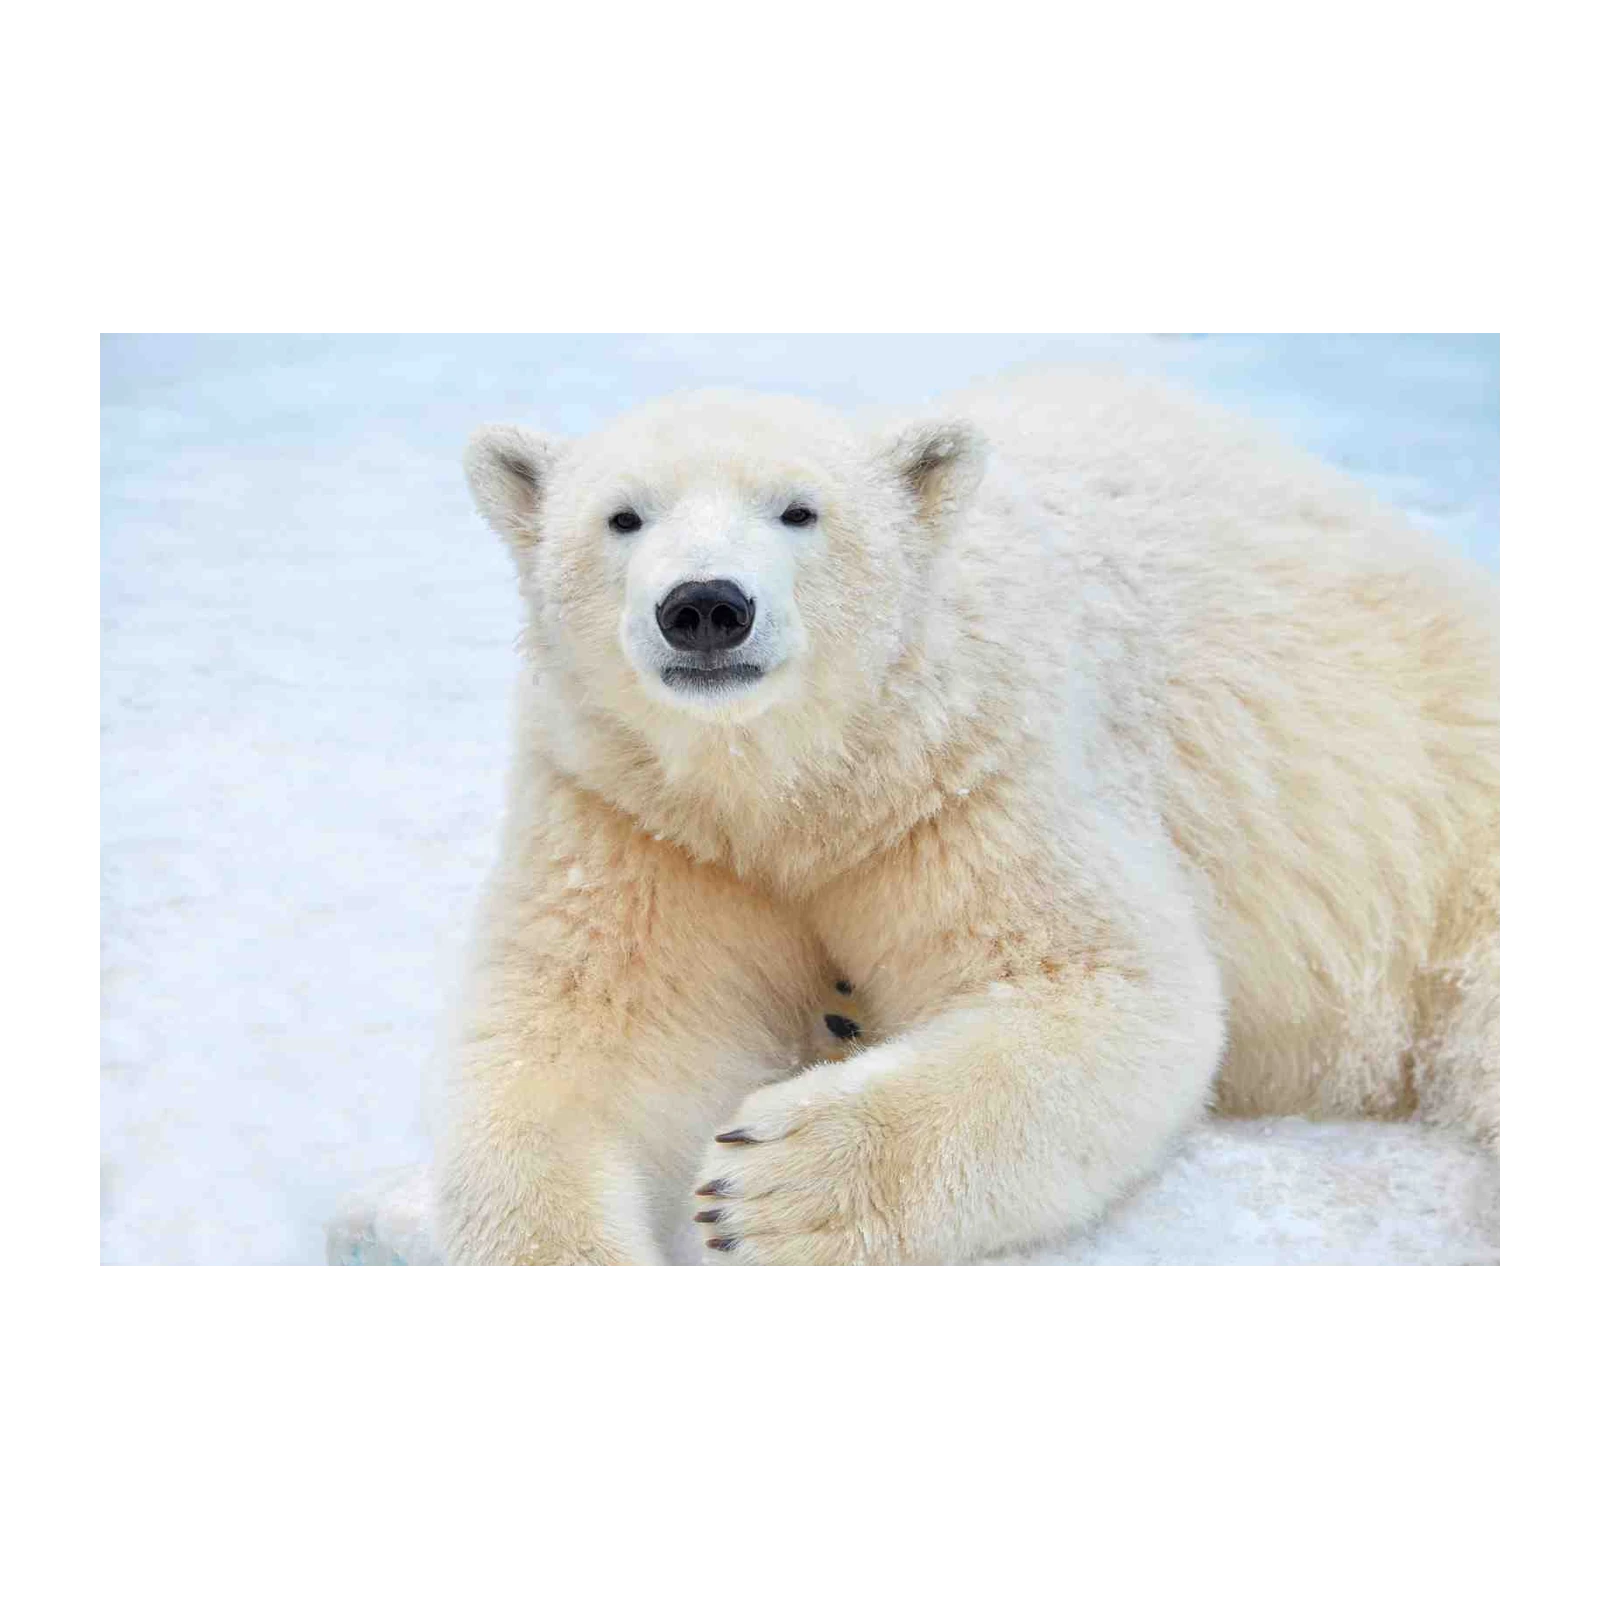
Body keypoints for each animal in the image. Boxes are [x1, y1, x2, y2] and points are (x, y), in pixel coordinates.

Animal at [435, 367, 1503, 1270]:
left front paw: (768, 1184)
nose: (705, 606)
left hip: (1453, 830)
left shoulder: (967, 778)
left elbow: (1107, 987)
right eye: (623, 516)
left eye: (799, 510)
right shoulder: (638, 819)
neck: (791, 781)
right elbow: (584, 1045)